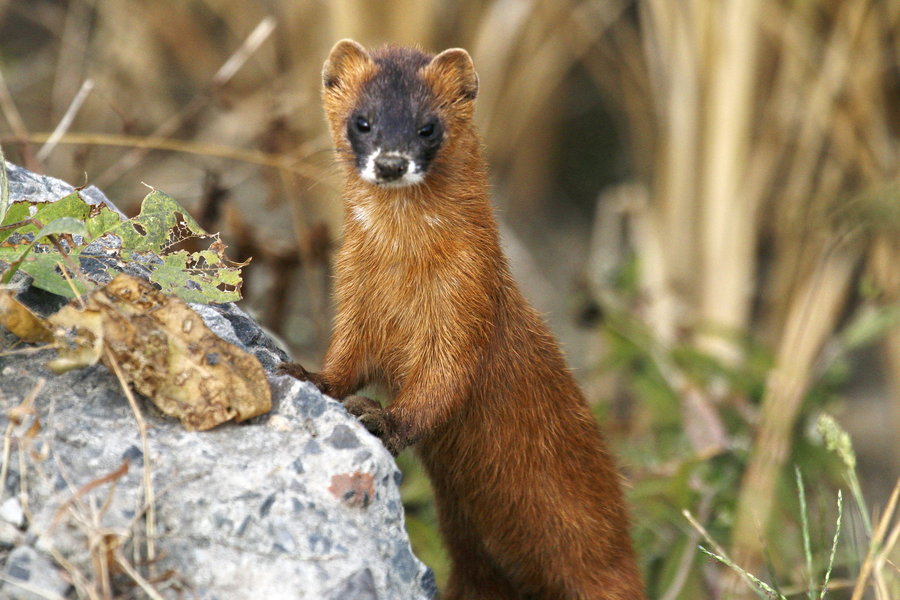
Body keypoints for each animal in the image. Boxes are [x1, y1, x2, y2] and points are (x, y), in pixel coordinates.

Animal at [282, 39, 640, 596]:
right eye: (362, 121)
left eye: (428, 126)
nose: (391, 163)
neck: (401, 276)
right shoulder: (354, 298)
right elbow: (347, 358)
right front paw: (307, 375)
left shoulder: (466, 303)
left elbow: (444, 380)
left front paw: (381, 418)